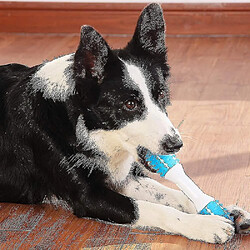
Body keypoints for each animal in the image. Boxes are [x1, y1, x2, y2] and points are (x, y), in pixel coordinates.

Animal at [0, 2, 250, 243]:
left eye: (161, 95)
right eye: (130, 104)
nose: (175, 145)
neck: (82, 125)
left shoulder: (125, 178)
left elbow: (176, 194)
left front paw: (226, 210)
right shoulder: (89, 197)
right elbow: (151, 208)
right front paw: (204, 224)